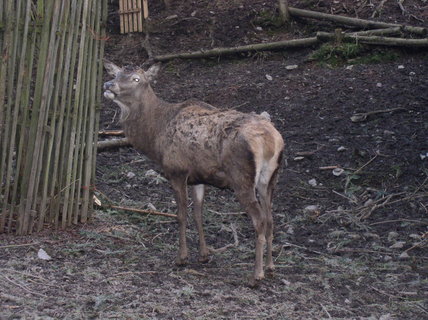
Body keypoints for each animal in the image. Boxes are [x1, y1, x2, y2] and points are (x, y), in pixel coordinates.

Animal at [103, 60, 284, 282]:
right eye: (116, 74)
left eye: (136, 79)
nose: (108, 85)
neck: (155, 136)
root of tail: (271, 140)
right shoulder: (199, 177)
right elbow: (198, 213)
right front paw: (204, 255)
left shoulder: (176, 170)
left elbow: (181, 214)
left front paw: (181, 257)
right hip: (270, 178)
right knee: (270, 218)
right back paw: (270, 267)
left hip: (242, 177)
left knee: (259, 220)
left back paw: (256, 275)